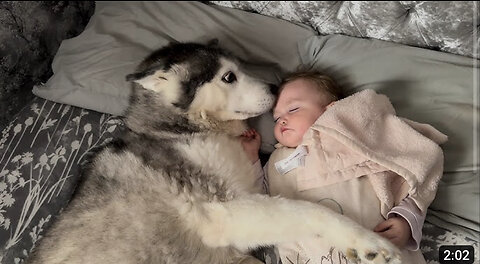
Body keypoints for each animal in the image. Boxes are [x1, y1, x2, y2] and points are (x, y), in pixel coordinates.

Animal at [26, 41, 402, 264]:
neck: (184, 130)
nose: (275, 87)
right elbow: (306, 210)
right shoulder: (219, 214)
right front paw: (367, 241)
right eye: (229, 77)